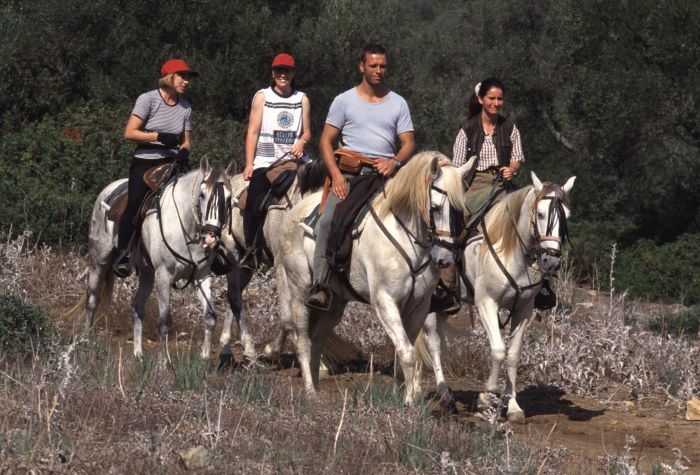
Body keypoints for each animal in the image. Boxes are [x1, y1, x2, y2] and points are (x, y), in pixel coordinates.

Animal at [67, 158, 232, 366]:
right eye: (202, 195)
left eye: (229, 199)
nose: (210, 238)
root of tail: (108, 189)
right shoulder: (164, 276)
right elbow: (164, 321)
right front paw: (164, 363)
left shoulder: (202, 276)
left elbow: (210, 316)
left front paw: (204, 359)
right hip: (99, 261)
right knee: (92, 299)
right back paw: (87, 341)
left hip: (147, 273)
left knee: (137, 306)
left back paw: (138, 353)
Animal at [217, 160, 326, 364]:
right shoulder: (281, 267)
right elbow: (288, 319)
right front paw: (271, 350)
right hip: (233, 256)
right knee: (235, 298)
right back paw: (248, 349)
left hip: (246, 267)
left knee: (233, 297)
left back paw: (226, 347)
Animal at [422, 173, 576, 422]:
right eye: (541, 214)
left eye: (567, 217)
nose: (551, 261)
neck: (512, 252)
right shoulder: (487, 304)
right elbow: (498, 350)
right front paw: (487, 398)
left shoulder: (524, 309)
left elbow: (513, 355)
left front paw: (512, 406)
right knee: (433, 344)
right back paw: (444, 396)